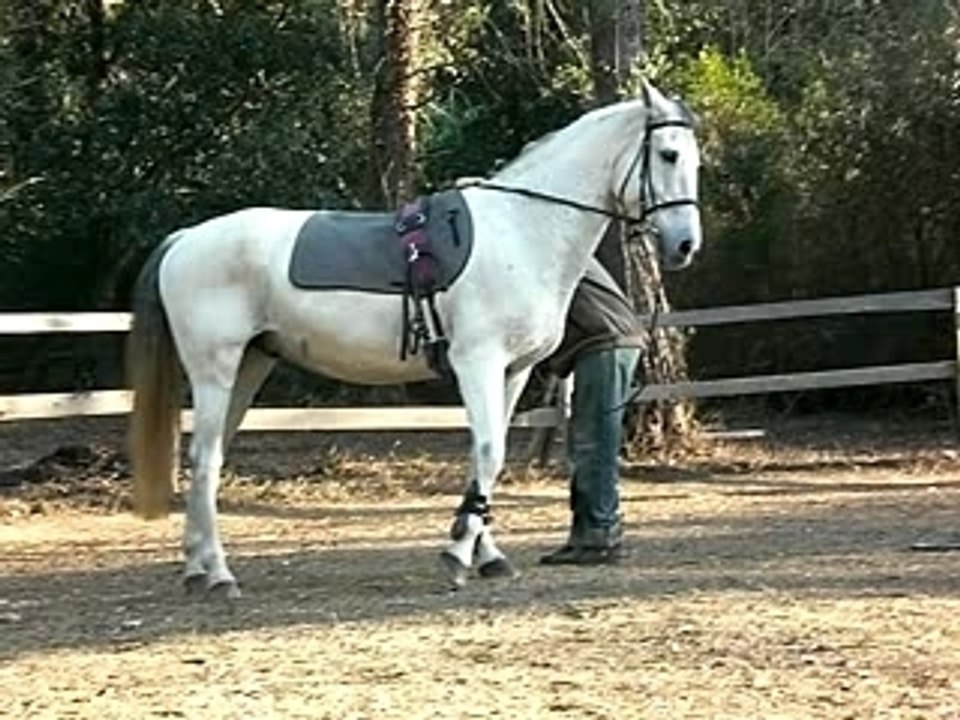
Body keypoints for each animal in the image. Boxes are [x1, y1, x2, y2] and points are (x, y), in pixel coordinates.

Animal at [127, 80, 702, 597]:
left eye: (695, 161)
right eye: (668, 154)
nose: (685, 245)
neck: (521, 229)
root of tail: (185, 240)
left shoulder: (512, 372)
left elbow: (486, 458)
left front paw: (486, 555)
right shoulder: (477, 363)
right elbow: (489, 453)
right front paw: (457, 555)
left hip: (250, 365)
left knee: (207, 459)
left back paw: (197, 569)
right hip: (215, 370)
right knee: (205, 461)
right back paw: (219, 575)